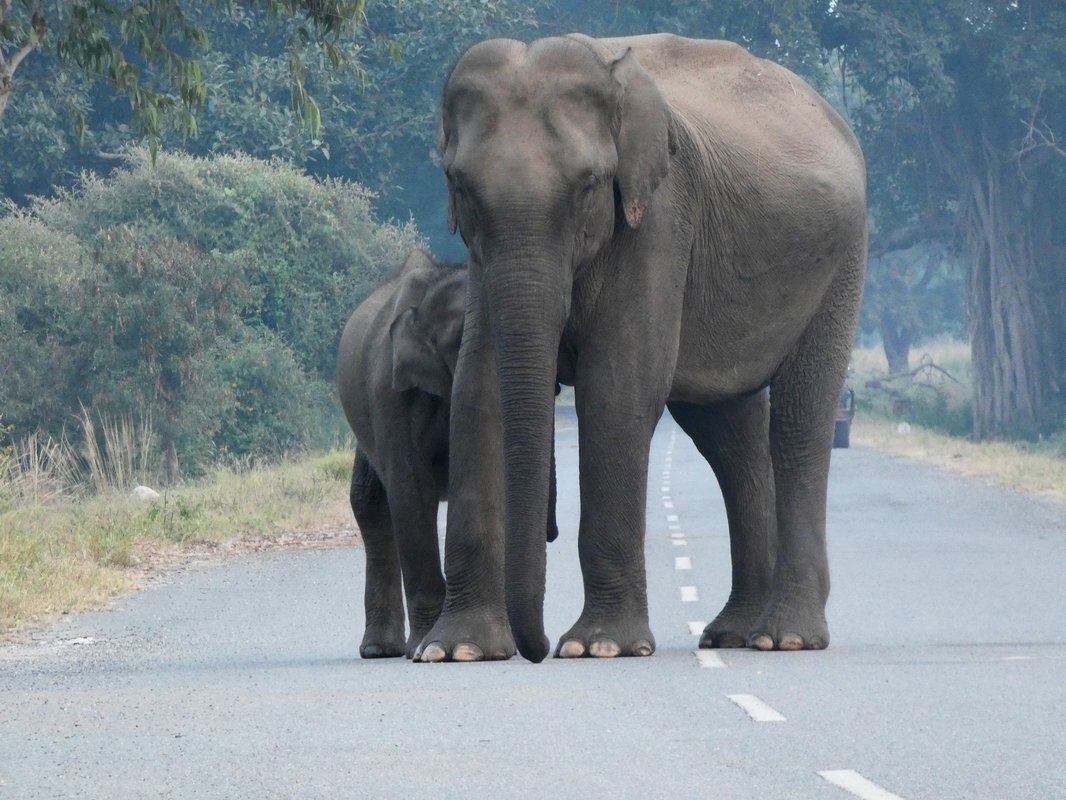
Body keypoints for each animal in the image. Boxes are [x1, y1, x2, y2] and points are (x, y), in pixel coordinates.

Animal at [415, 34, 865, 665]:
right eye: (461, 188)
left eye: (588, 185)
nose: (537, 649)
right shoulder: (483, 259)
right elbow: (478, 391)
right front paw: (458, 650)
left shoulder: (660, 216)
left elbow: (618, 389)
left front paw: (600, 647)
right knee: (729, 435)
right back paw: (734, 633)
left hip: (840, 261)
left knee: (800, 418)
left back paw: (786, 637)